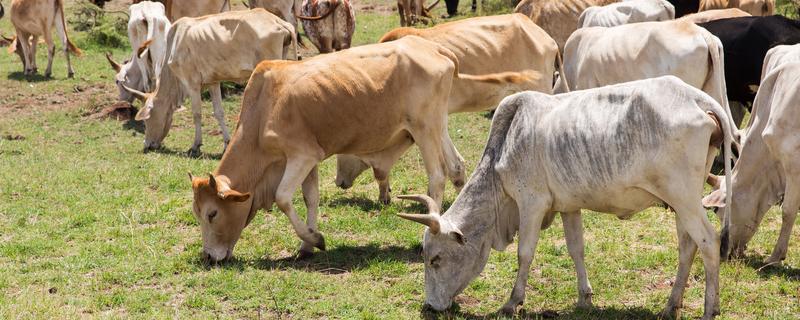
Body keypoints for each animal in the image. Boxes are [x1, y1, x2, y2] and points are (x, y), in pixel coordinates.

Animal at [122, 9, 300, 156]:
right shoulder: (213, 82)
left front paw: (195, 146)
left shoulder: (192, 83)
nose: (147, 145)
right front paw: (227, 143)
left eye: (147, 119)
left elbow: (197, 113)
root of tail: (279, 22)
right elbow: (218, 112)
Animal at [396, 75, 736, 320]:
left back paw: (710, 309)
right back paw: (670, 305)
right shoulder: (569, 207)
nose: (430, 306)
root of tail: (698, 98)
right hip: (680, 203)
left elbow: (524, 254)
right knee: (687, 246)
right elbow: (576, 250)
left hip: (684, 198)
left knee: (708, 242)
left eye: (435, 259)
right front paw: (584, 297)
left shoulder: (531, 203)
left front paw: (512, 302)